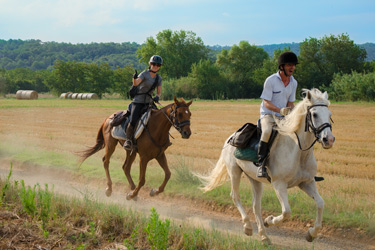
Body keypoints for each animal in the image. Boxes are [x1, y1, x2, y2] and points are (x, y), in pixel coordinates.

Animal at [198, 89, 336, 245]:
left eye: (330, 115)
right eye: (315, 114)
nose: (329, 140)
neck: (299, 151)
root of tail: (230, 137)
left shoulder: (307, 182)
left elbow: (320, 203)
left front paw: (311, 233)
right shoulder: (279, 184)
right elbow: (286, 212)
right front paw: (269, 220)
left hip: (254, 179)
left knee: (255, 205)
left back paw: (264, 235)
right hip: (234, 172)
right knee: (235, 196)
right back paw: (248, 227)